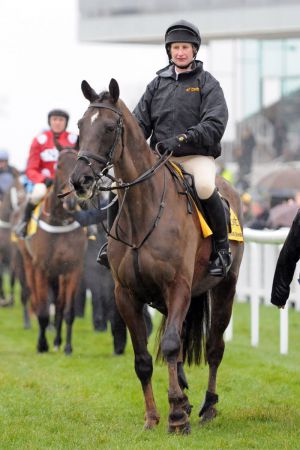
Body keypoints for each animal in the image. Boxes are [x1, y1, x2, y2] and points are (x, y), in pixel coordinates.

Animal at [20, 149, 86, 354]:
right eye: (58, 165)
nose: (71, 201)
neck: (60, 222)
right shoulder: (41, 268)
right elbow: (42, 311)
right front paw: (42, 345)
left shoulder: (73, 268)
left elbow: (67, 310)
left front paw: (67, 346)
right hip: (29, 264)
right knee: (35, 297)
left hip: (57, 274)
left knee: (59, 305)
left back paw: (57, 340)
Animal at [70, 79, 244, 434]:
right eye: (80, 125)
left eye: (109, 128)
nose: (80, 180)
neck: (145, 211)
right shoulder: (126, 294)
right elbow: (144, 358)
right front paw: (153, 416)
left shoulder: (177, 287)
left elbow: (172, 345)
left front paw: (177, 416)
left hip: (224, 289)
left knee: (214, 348)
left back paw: (207, 406)